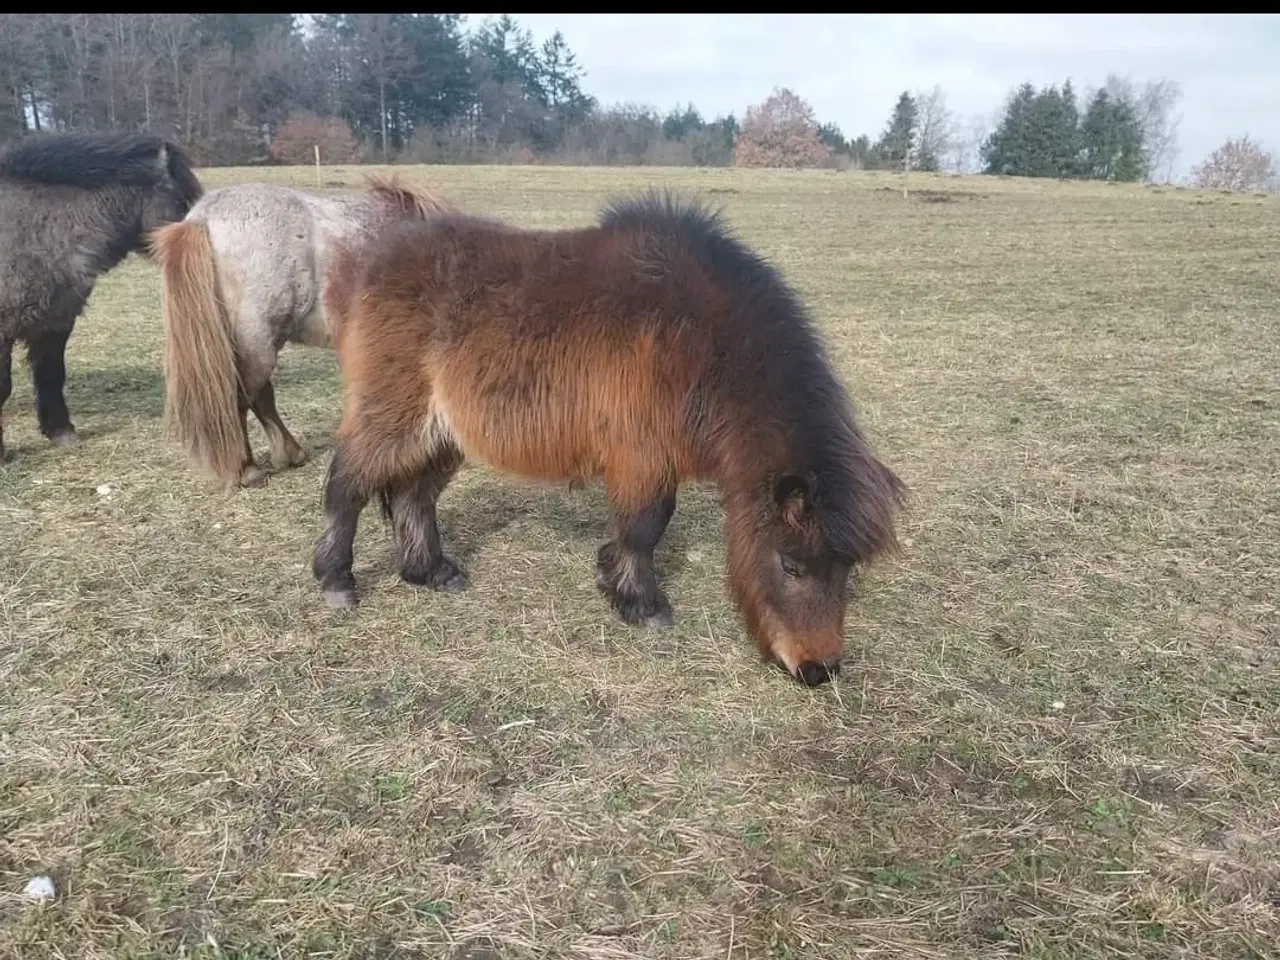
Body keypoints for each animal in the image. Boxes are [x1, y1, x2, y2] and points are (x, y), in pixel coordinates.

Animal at [149, 176, 455, 488]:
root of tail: (204, 217)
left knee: (261, 396)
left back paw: (288, 454)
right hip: (256, 341)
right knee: (243, 396)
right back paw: (249, 469)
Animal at [313, 189, 906, 686]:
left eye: (847, 570)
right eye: (791, 565)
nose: (818, 670)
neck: (701, 345)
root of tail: (372, 261)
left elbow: (637, 530)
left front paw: (609, 576)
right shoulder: (642, 457)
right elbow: (645, 528)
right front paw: (642, 604)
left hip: (443, 436)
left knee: (413, 497)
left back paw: (431, 572)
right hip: (395, 418)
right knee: (347, 484)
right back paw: (337, 580)